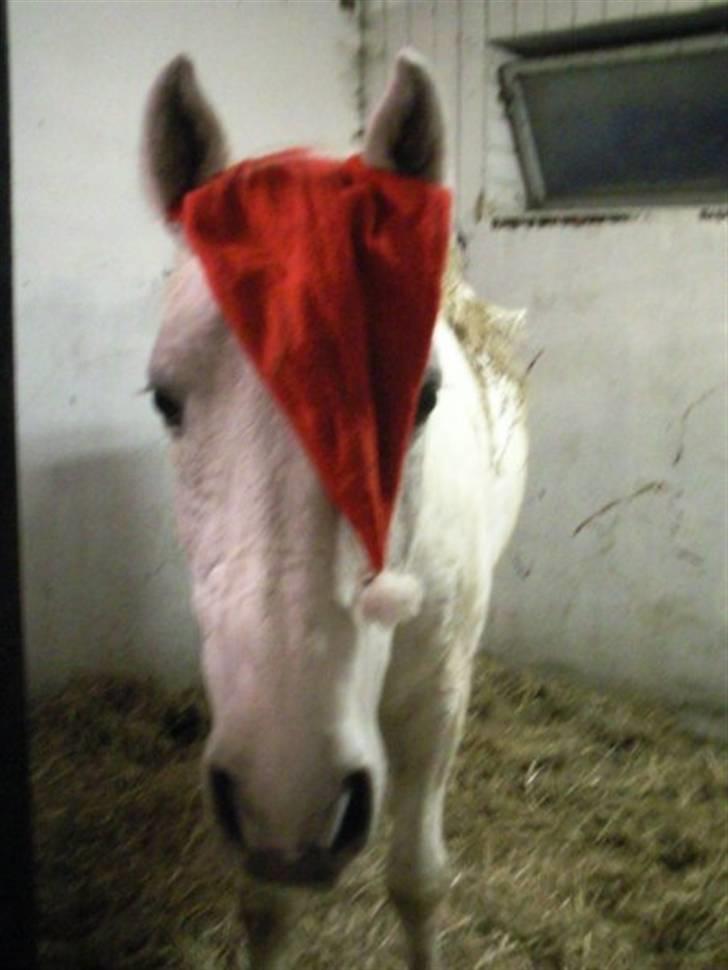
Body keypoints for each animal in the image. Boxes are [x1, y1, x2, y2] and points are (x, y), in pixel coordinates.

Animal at [141, 49, 527, 970]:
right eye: (164, 399)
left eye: (420, 398)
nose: (290, 796)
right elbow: (267, 905)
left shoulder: (436, 702)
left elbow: (417, 882)